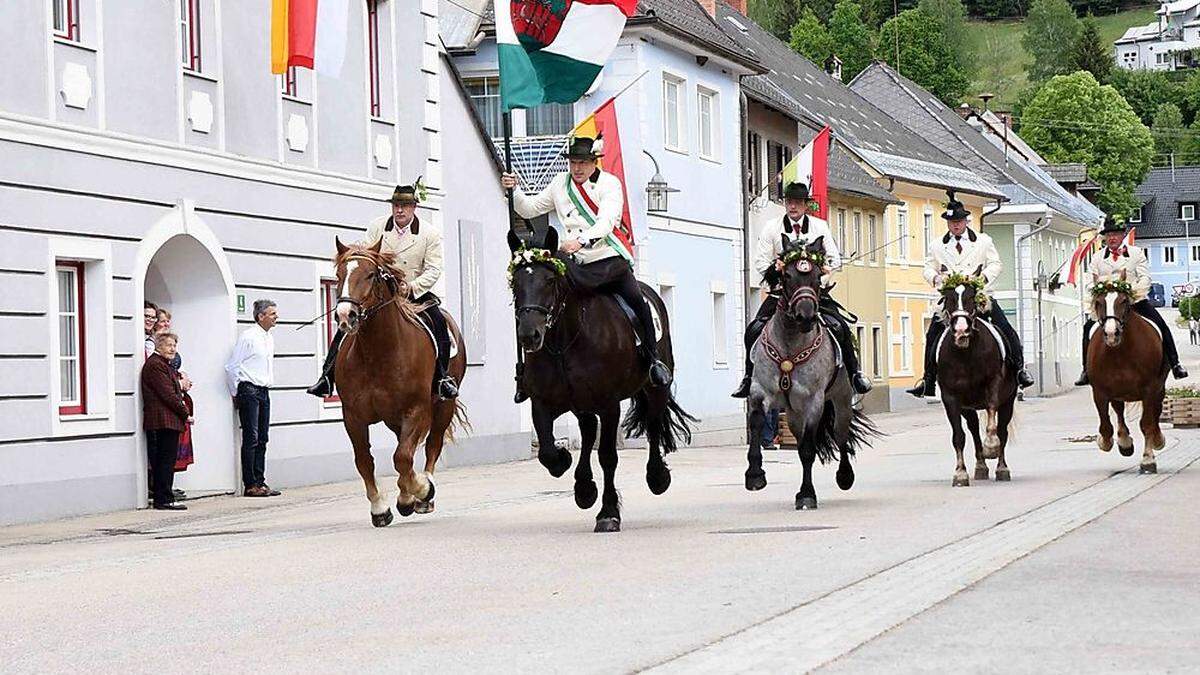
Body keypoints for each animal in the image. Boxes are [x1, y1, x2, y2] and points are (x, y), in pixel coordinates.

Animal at [336, 236, 470, 526]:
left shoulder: (416, 409)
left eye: (371, 274)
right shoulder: (353, 416)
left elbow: (403, 456)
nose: (345, 315)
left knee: (432, 445)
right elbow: (365, 460)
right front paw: (380, 507)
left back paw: (423, 495)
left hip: (442, 406)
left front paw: (422, 490)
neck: (377, 353)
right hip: (393, 417)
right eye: (339, 275)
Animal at [506, 225, 696, 530]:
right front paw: (566, 463)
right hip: (582, 404)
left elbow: (608, 456)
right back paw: (584, 488)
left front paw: (608, 512)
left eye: (549, 280)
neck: (565, 342)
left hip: (654, 388)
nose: (528, 334)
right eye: (516, 282)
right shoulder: (543, 403)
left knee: (653, 424)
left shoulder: (609, 405)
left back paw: (657, 477)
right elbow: (547, 452)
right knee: (587, 432)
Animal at [739, 235, 873, 504]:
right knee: (801, 440)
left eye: (817, 276)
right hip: (792, 413)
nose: (806, 316)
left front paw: (807, 495)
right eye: (788, 275)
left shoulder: (813, 400)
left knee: (840, 434)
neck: (790, 342)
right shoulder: (760, 391)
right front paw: (755, 474)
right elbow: (757, 423)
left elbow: (809, 450)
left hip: (841, 400)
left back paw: (845, 476)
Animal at [931, 266, 1017, 482]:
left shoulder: (993, 385)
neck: (965, 355)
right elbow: (958, 436)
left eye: (971, 296)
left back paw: (1001, 467)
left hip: (1009, 401)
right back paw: (980, 466)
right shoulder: (951, 398)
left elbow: (993, 419)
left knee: (1002, 430)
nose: (961, 330)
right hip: (967, 407)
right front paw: (960, 473)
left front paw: (991, 446)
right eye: (948, 297)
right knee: (973, 430)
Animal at [1089, 270, 1161, 470]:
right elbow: (1106, 426)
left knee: (1156, 412)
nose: (1111, 334)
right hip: (1118, 393)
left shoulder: (1150, 389)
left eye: (1123, 301)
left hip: (1159, 387)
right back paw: (1124, 442)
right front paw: (1108, 442)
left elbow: (1147, 423)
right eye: (1099, 302)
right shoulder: (1100, 391)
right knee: (1119, 411)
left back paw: (1158, 439)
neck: (1120, 352)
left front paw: (1148, 459)